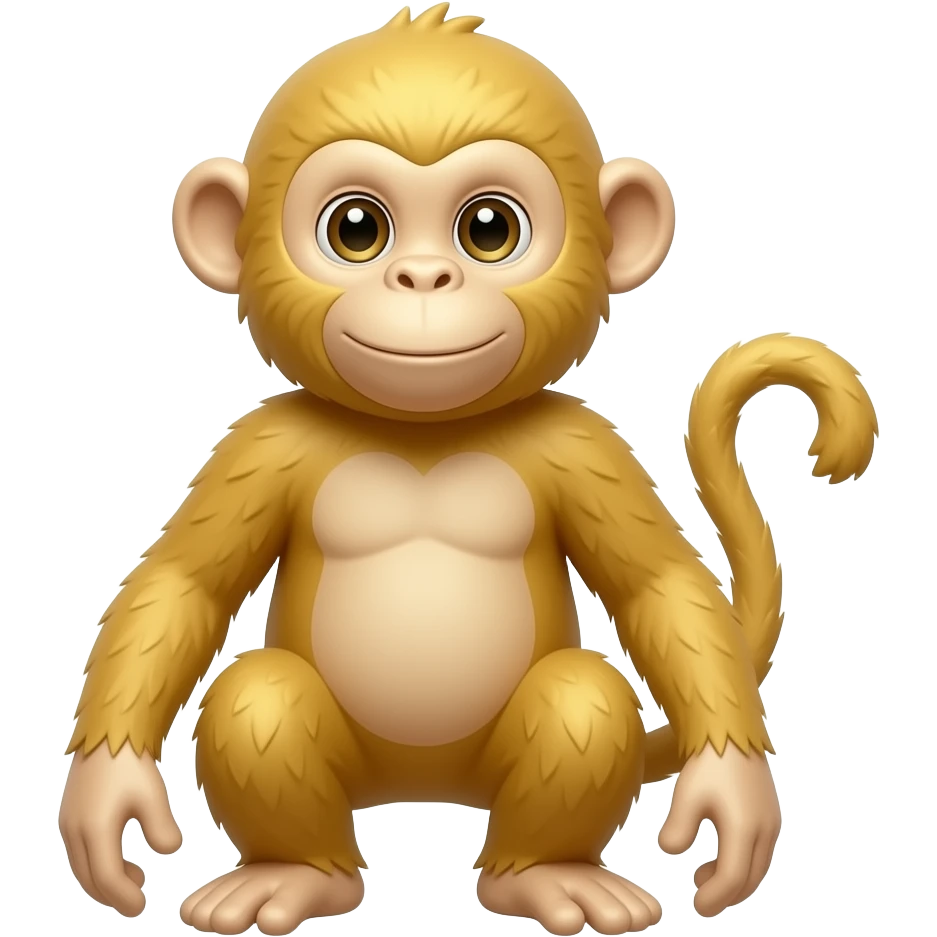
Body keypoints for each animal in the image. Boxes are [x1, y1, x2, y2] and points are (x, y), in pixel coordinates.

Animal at [57, 5, 879, 937]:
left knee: (580, 698)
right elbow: (182, 584)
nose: (423, 276)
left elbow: (659, 588)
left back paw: (546, 875)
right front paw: (106, 794)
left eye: (489, 229)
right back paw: (294, 875)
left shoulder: (583, 445)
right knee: (256, 698)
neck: (426, 430)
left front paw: (731, 794)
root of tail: (423, 785)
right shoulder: (261, 446)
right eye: (355, 229)